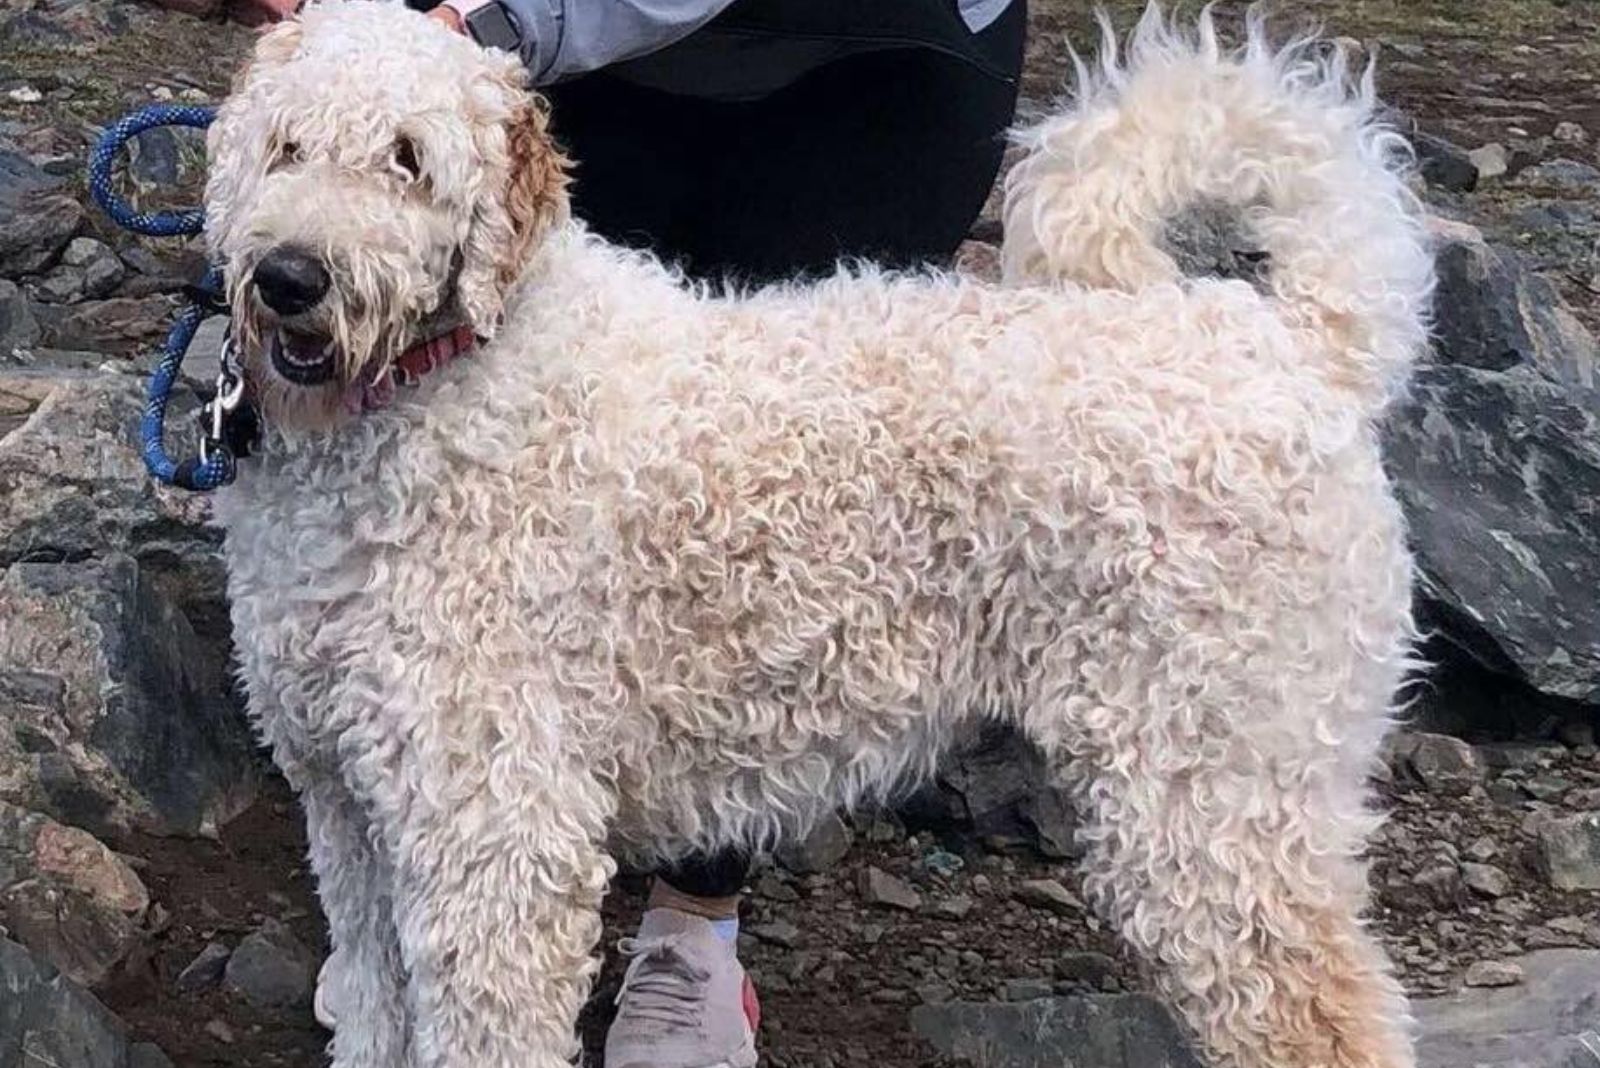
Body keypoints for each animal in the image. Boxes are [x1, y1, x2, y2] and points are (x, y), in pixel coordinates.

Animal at [203, 4, 1440, 1061]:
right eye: (285, 146)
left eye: (409, 160)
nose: (292, 277)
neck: (440, 389)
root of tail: (1291, 344)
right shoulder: (348, 809)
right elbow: (374, 1007)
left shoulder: (497, 835)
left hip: (1218, 809)